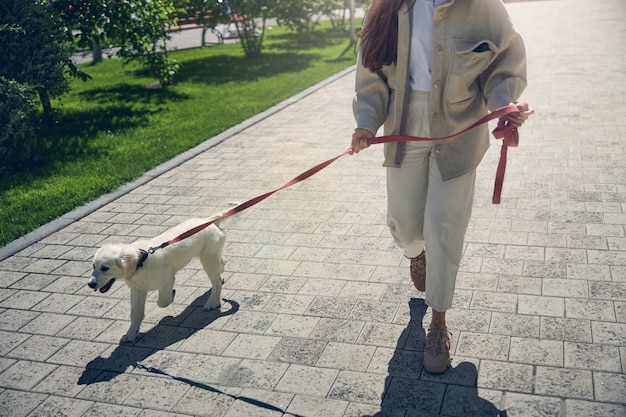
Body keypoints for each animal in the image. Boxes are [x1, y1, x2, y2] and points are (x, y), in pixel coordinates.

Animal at [86, 213, 225, 342]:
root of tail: (208, 221)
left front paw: (171, 295)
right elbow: (135, 314)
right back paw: (222, 267)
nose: (90, 284)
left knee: (216, 282)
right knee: (220, 264)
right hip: (211, 256)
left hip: (208, 260)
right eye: (93, 266)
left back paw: (212, 302)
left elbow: (162, 302)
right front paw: (131, 334)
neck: (141, 264)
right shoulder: (137, 291)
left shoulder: (167, 280)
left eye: (105, 268)